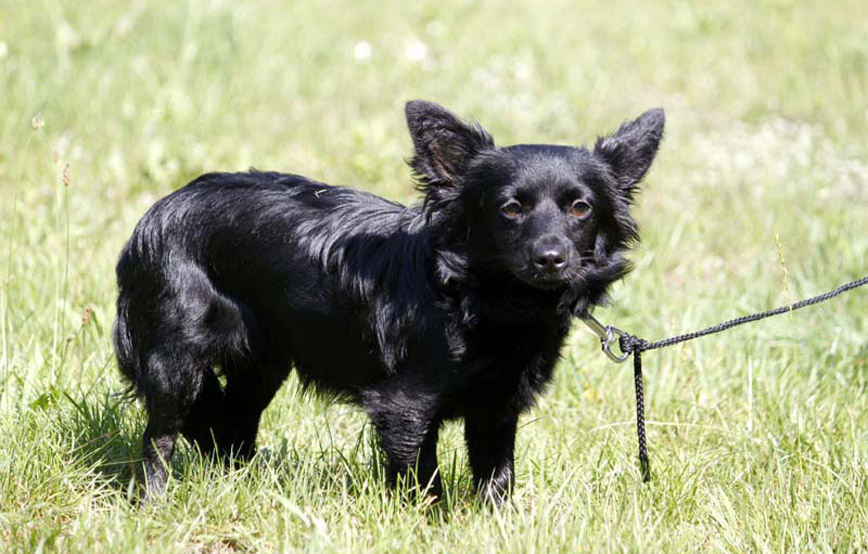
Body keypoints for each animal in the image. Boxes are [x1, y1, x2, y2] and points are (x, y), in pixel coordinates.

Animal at [110, 99, 664, 500]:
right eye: (510, 209)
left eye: (580, 208)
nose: (551, 258)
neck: (478, 298)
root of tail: (156, 214)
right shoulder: (404, 408)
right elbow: (424, 482)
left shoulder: (495, 407)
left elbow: (497, 478)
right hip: (175, 359)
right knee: (160, 437)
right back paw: (154, 502)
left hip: (262, 364)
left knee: (232, 430)